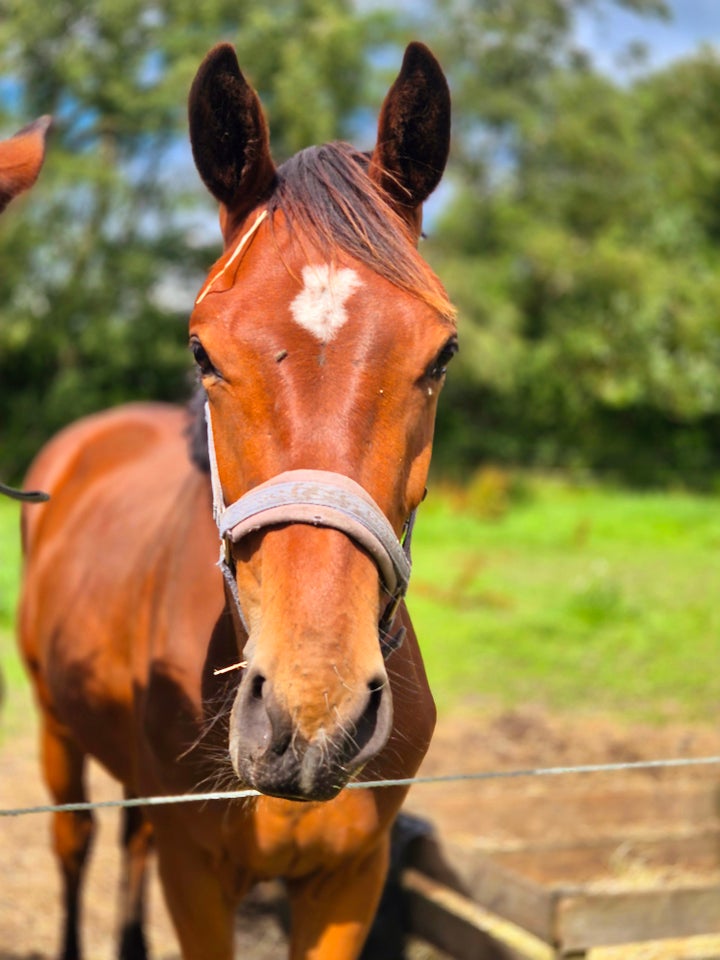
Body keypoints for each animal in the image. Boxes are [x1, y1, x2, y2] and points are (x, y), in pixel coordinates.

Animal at [19, 41, 458, 960]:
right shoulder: (198, 875)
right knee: (76, 841)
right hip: (53, 719)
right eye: (201, 350)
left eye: (442, 354)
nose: (313, 707)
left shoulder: (350, 878)